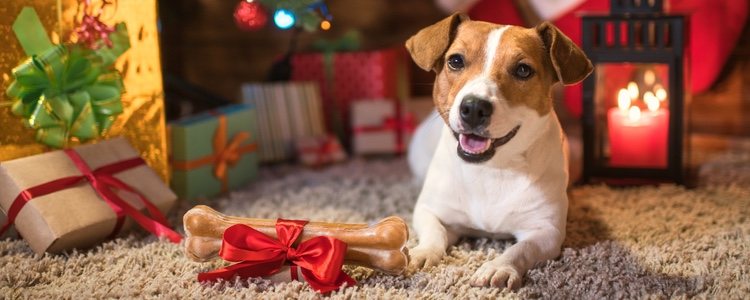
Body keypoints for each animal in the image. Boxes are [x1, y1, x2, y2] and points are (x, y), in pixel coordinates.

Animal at [406, 13, 592, 288]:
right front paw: (422, 253)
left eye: (523, 70)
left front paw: (499, 266)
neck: (491, 168)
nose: (474, 107)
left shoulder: (546, 231)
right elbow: (434, 233)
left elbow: (520, 250)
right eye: (456, 61)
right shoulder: (431, 210)